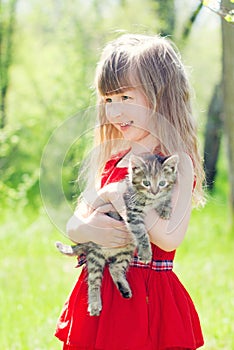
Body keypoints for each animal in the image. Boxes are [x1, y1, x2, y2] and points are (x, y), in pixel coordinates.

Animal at [55, 154, 178, 316]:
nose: (154, 191)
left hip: (125, 252)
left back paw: (124, 289)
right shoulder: (132, 211)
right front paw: (146, 253)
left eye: (162, 183)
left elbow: (165, 198)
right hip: (96, 255)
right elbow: (141, 232)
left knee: (114, 268)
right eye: (146, 183)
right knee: (93, 280)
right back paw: (95, 304)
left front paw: (165, 208)